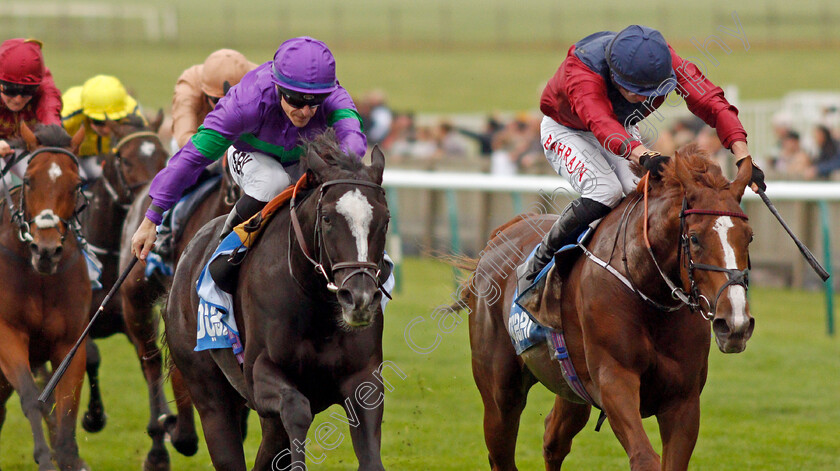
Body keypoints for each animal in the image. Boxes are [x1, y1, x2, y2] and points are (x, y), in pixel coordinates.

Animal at [0, 123, 90, 470]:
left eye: (76, 184)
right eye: (28, 180)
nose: (46, 251)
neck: (40, 278)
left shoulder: (70, 342)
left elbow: (65, 409)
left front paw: (68, 457)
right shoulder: (8, 334)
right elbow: (31, 399)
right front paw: (44, 458)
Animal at [75, 112, 174, 470]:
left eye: (162, 156)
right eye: (124, 159)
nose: (149, 201)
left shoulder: (135, 318)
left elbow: (151, 364)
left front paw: (162, 435)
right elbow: (90, 356)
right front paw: (93, 417)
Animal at [164, 134, 390, 471]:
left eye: (385, 220)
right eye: (327, 218)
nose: (359, 298)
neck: (317, 307)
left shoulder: (363, 377)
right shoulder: (259, 376)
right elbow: (296, 409)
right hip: (209, 393)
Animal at [460, 146, 756, 470]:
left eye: (749, 237)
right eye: (694, 238)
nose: (735, 324)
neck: (645, 287)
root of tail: (500, 236)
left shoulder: (683, 400)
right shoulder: (614, 379)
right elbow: (644, 457)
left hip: (571, 387)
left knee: (553, 439)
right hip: (501, 393)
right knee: (501, 450)